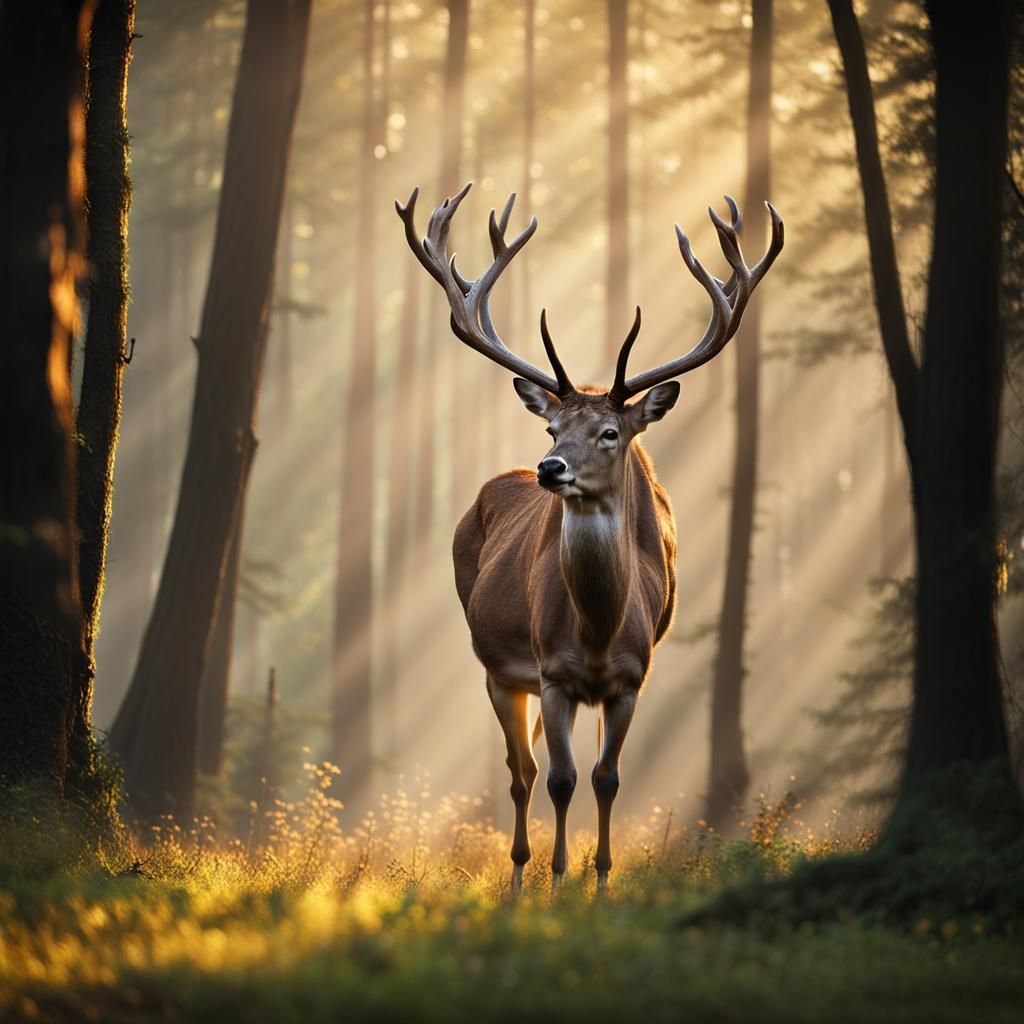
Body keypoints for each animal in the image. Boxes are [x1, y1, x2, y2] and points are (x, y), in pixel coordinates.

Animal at [395, 182, 778, 888]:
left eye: (610, 432)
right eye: (552, 428)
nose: (551, 467)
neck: (598, 633)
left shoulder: (630, 678)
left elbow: (607, 779)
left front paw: (600, 880)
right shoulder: (552, 673)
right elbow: (561, 780)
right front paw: (556, 879)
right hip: (497, 668)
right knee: (520, 774)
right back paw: (517, 875)